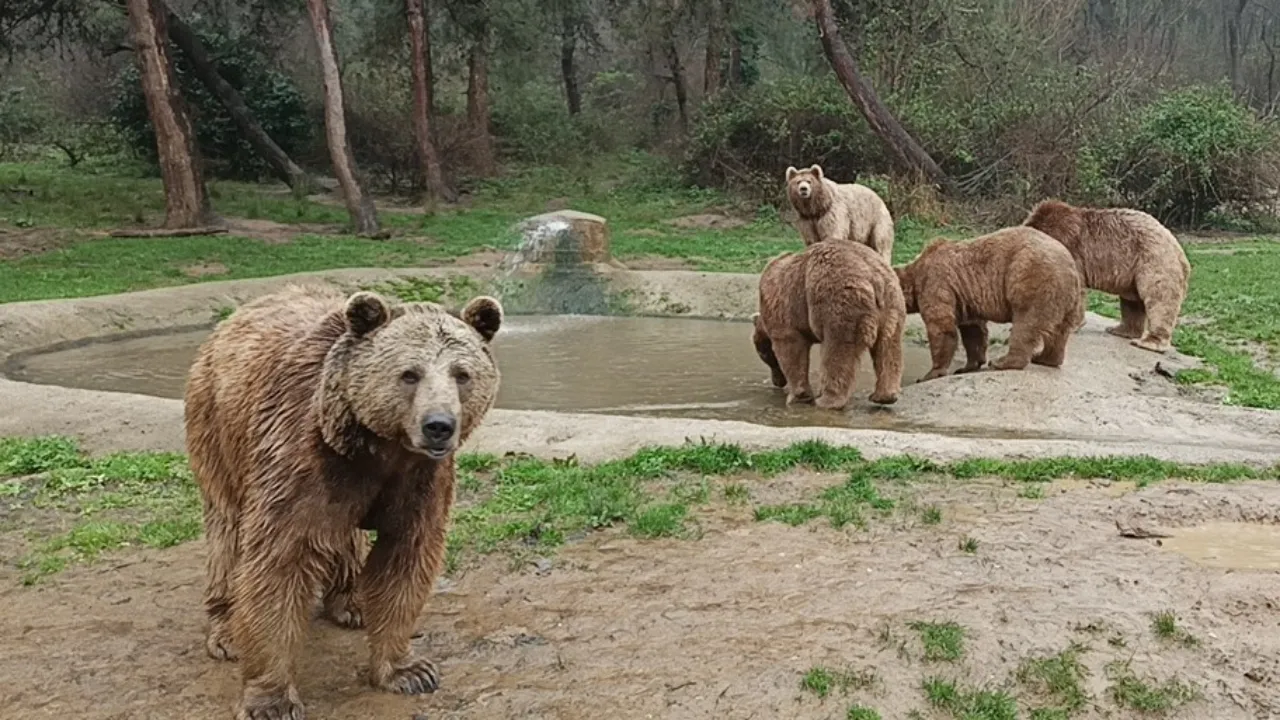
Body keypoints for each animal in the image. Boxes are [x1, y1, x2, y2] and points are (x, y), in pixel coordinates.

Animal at [185, 283, 504, 717]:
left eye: (462, 374)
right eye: (409, 373)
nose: (439, 426)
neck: (378, 447)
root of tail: (236, 314)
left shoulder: (419, 481)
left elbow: (406, 561)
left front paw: (408, 670)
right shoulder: (297, 457)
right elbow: (277, 565)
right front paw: (271, 700)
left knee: (347, 538)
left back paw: (353, 603)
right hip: (218, 428)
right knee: (227, 530)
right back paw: (227, 630)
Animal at [752, 240, 906, 409]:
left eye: (763, 355)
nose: (777, 382)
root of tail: (875, 275)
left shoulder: (783, 311)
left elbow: (791, 349)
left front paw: (798, 396)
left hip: (838, 299)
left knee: (838, 349)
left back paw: (827, 400)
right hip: (892, 304)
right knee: (888, 346)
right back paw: (884, 396)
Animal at [896, 226, 1085, 381]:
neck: (914, 274)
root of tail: (1070, 266)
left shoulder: (936, 282)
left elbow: (942, 327)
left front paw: (930, 374)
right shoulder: (965, 296)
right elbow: (973, 330)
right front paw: (968, 366)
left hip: (1032, 276)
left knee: (1026, 322)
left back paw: (1002, 361)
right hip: (1068, 298)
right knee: (1059, 331)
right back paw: (1044, 358)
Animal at [1018, 198, 1187, 351]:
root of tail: (1178, 248)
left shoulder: (1070, 249)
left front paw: (1069, 325)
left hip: (1153, 261)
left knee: (1159, 299)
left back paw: (1149, 342)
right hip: (1132, 274)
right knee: (1132, 302)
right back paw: (1120, 330)